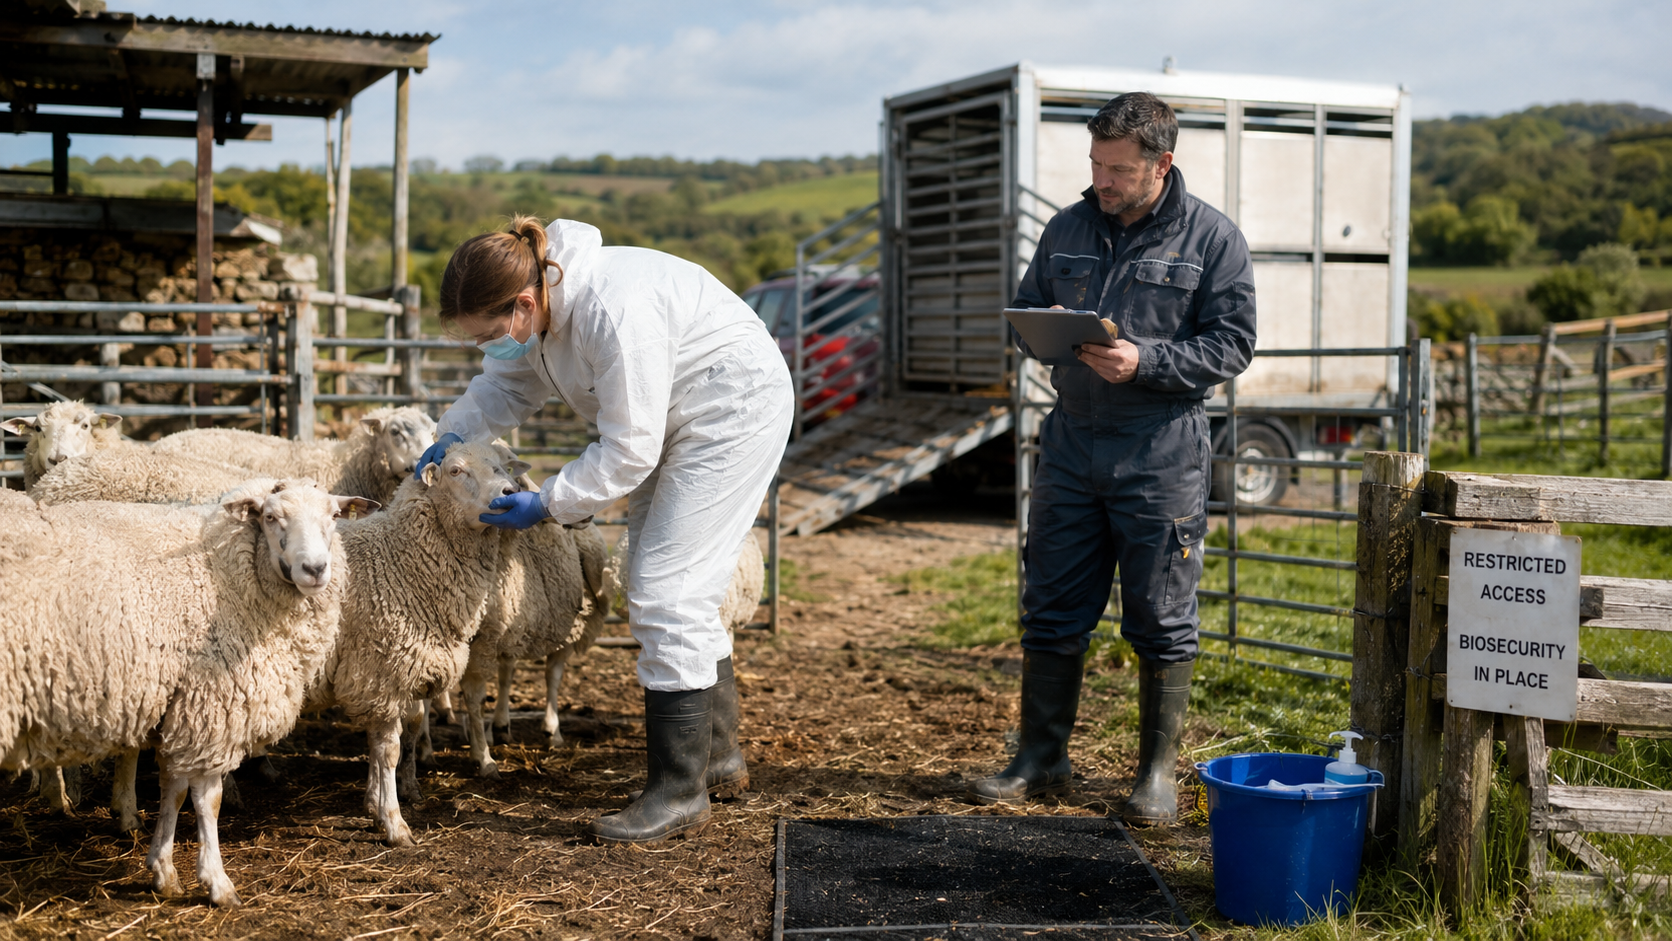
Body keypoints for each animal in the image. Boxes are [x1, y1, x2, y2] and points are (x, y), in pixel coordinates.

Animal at [0, 478, 368, 907]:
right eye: (270, 516)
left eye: (335, 515)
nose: (315, 569)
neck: (224, 569)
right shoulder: (211, 703)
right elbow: (208, 800)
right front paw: (217, 883)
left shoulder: (183, 704)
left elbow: (173, 790)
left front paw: (163, 870)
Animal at [303, 440, 523, 846]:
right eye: (456, 471)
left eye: (502, 466)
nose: (509, 493)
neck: (400, 558)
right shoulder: (381, 672)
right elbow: (388, 750)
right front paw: (394, 823)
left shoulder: (388, 672)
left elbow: (393, 737)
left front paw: (375, 803)